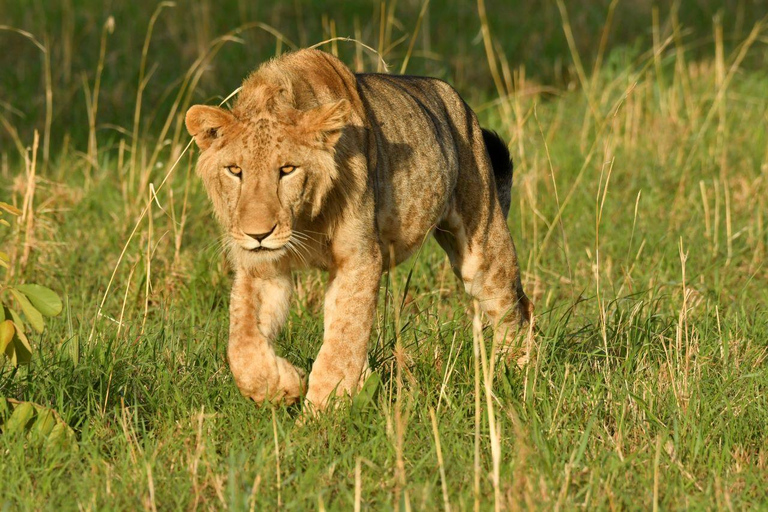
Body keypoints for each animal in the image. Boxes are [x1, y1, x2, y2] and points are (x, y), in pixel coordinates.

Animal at [187, 50, 536, 410]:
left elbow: (343, 342)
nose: (258, 234)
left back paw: (514, 377)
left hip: (482, 246)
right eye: (234, 170)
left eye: (287, 169)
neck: (304, 221)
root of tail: (459, 101)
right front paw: (282, 385)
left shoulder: (359, 258)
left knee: (517, 307)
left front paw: (321, 412)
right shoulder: (261, 266)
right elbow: (242, 342)